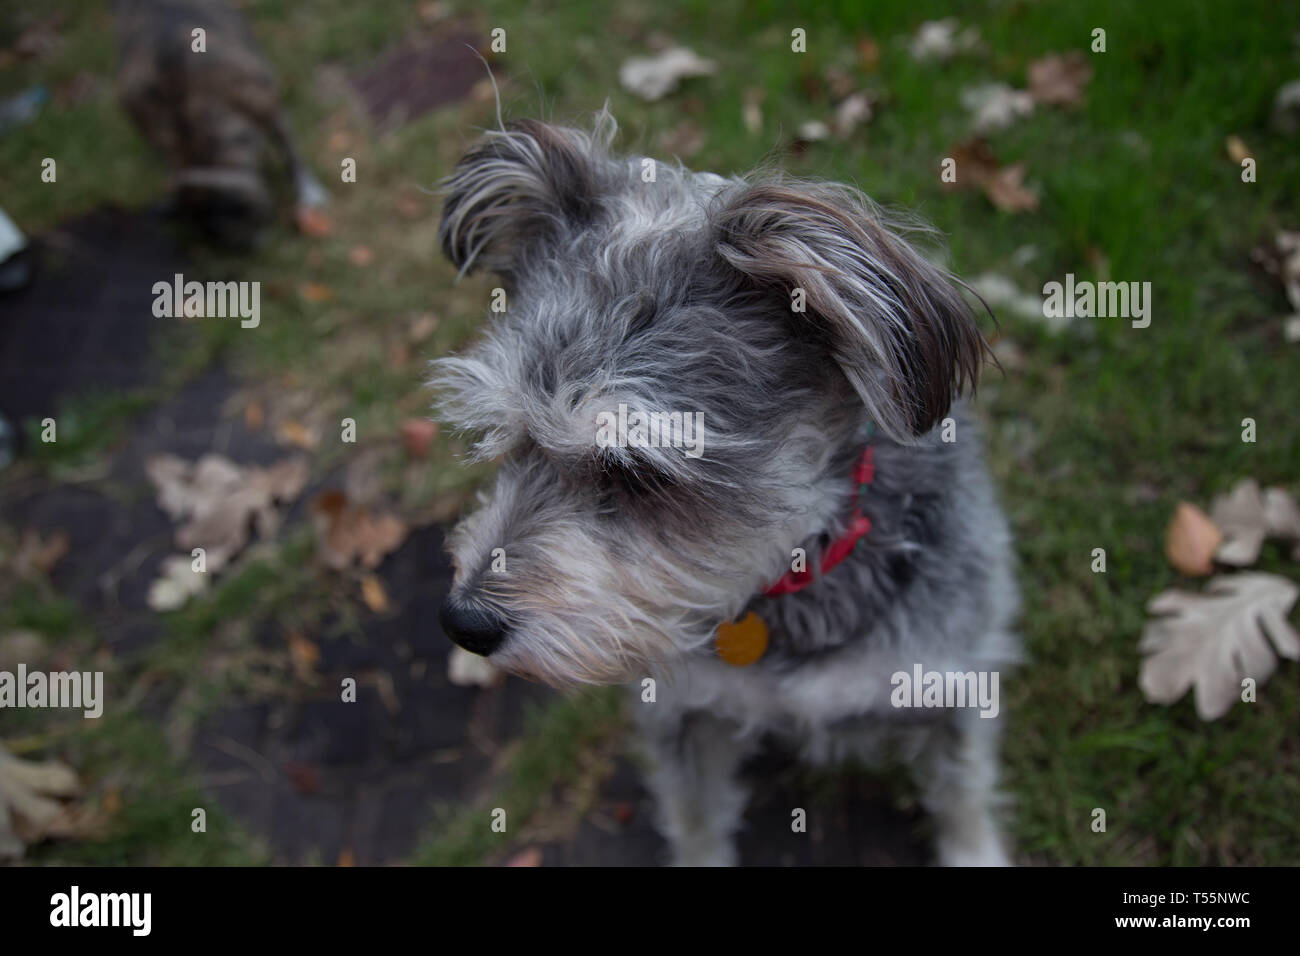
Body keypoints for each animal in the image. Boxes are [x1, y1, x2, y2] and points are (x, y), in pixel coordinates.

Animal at [431, 111, 1019, 868]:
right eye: (505, 435)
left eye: (633, 470)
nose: (463, 624)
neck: (790, 577)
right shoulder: (685, 718)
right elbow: (697, 822)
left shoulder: (947, 691)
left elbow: (963, 799)